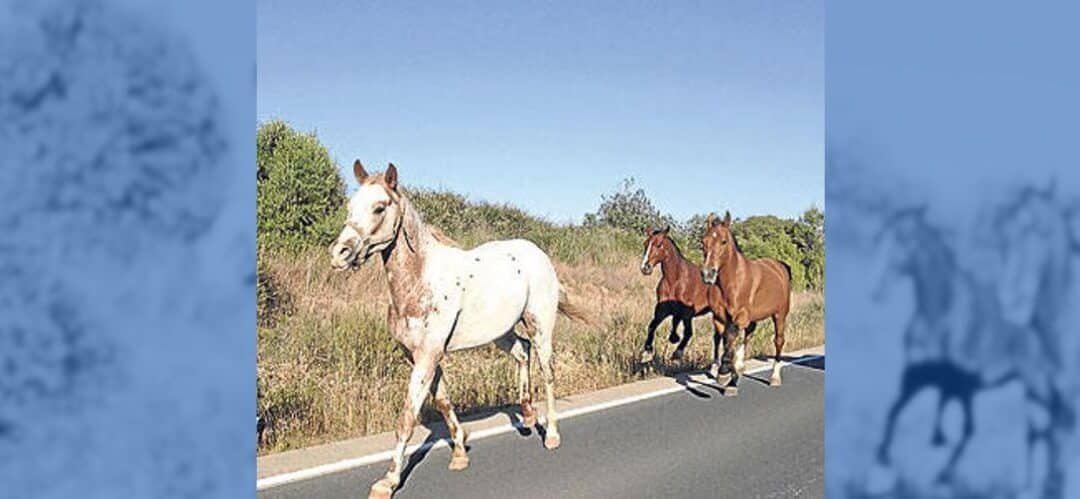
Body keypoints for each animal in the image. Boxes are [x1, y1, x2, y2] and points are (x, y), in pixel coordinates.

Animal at [329, 161, 586, 499]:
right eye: (350, 206)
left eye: (379, 207)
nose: (339, 254)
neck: (419, 282)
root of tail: (539, 254)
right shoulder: (420, 357)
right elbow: (442, 402)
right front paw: (460, 454)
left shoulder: (427, 356)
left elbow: (406, 418)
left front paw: (387, 482)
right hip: (501, 333)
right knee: (522, 351)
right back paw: (528, 416)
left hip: (539, 325)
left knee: (548, 372)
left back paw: (552, 435)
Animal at [638, 226, 730, 364]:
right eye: (645, 244)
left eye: (659, 245)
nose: (645, 267)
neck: (675, 280)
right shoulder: (662, 310)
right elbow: (652, 326)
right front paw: (647, 353)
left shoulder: (687, 313)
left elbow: (688, 333)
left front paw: (677, 353)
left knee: (718, 336)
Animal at [700, 211, 792, 395]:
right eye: (703, 242)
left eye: (723, 241)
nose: (708, 274)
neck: (731, 281)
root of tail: (780, 266)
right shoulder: (719, 318)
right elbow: (725, 340)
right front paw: (730, 375)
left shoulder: (739, 316)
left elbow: (729, 338)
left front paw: (724, 374)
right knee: (749, 334)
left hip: (780, 314)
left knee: (778, 340)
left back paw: (774, 377)